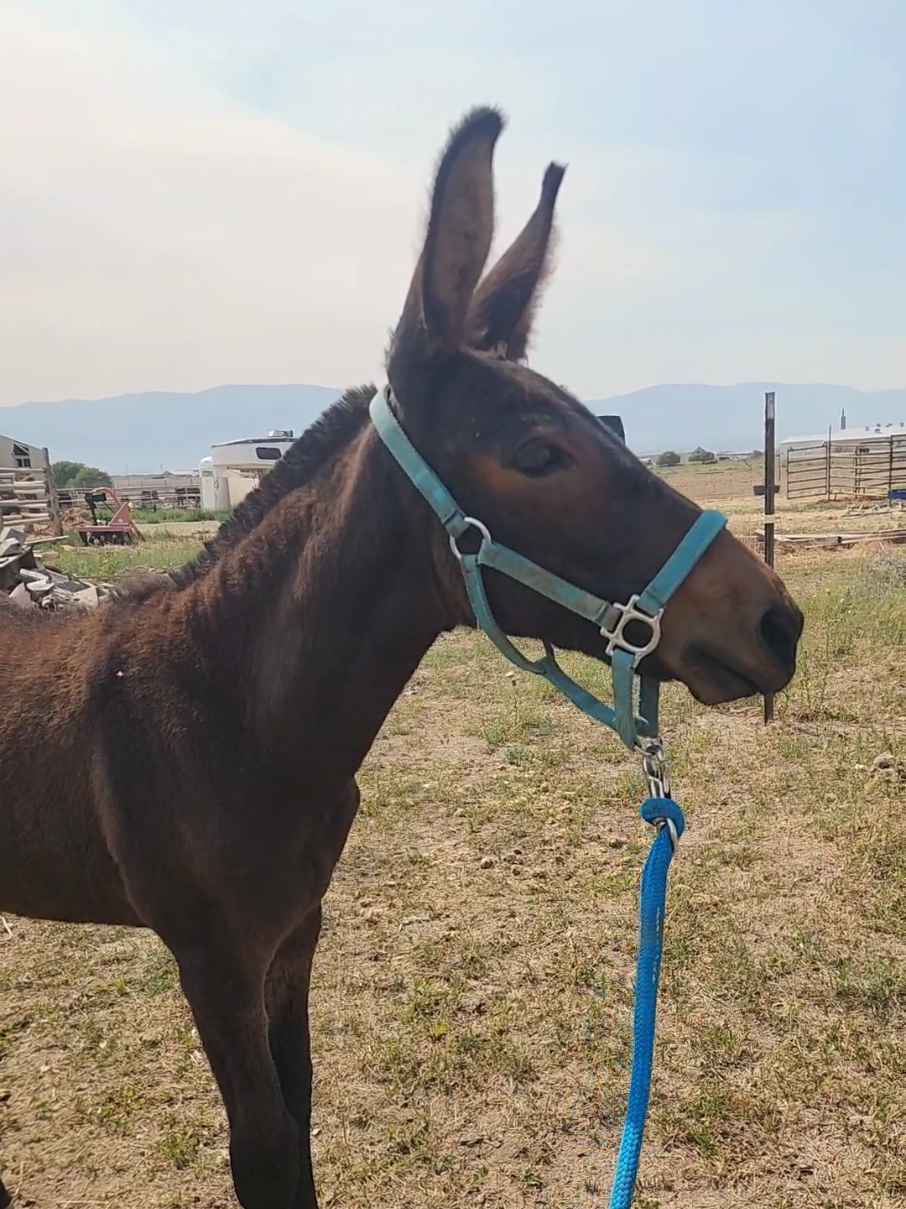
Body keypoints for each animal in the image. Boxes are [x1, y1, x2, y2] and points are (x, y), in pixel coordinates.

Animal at [0, 105, 803, 1209]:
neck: (234, 718)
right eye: (539, 454)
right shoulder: (213, 961)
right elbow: (265, 1155)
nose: (776, 623)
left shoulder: (294, 936)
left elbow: (300, 1123)